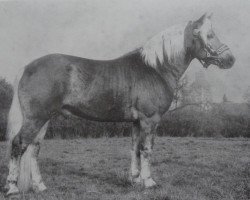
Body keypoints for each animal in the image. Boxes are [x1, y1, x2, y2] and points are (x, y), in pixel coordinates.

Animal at [4, 12, 234, 195]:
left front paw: (135, 180)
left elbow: (134, 148)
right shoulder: (150, 119)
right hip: (35, 118)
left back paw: (40, 186)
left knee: (34, 148)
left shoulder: (136, 122)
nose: (230, 59)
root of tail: (27, 67)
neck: (156, 69)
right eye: (209, 35)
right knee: (18, 144)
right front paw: (149, 182)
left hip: (44, 119)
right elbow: (147, 149)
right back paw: (12, 188)